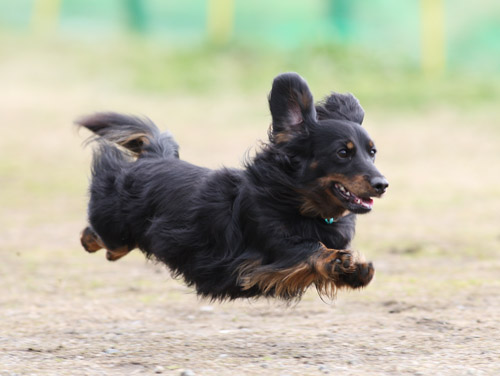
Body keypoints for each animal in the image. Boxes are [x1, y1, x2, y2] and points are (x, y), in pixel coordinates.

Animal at [80, 72, 388, 302]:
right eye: (343, 152)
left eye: (372, 152)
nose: (382, 185)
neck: (292, 200)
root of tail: (153, 156)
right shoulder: (264, 253)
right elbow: (311, 249)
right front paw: (344, 263)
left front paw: (354, 271)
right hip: (116, 230)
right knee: (103, 238)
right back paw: (88, 239)